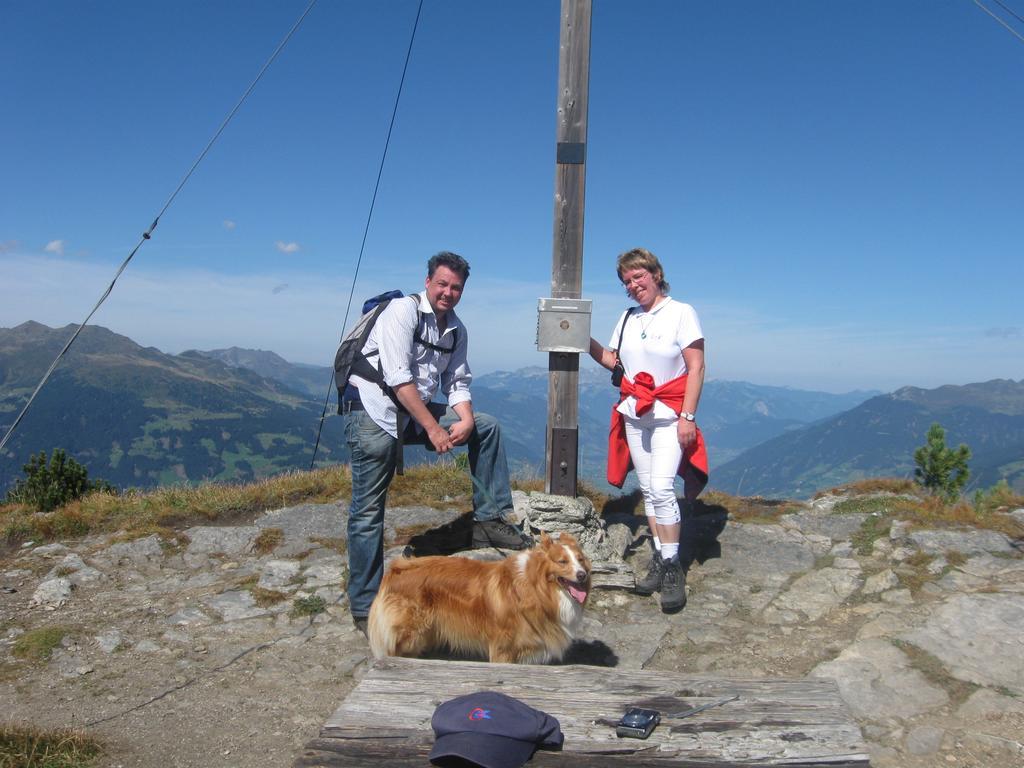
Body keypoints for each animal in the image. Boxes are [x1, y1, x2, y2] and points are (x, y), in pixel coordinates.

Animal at [368, 532, 593, 663]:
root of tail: (397, 568)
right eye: (562, 561)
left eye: (580, 559)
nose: (582, 575)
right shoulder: (503, 650)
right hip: (410, 635)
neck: (536, 587)